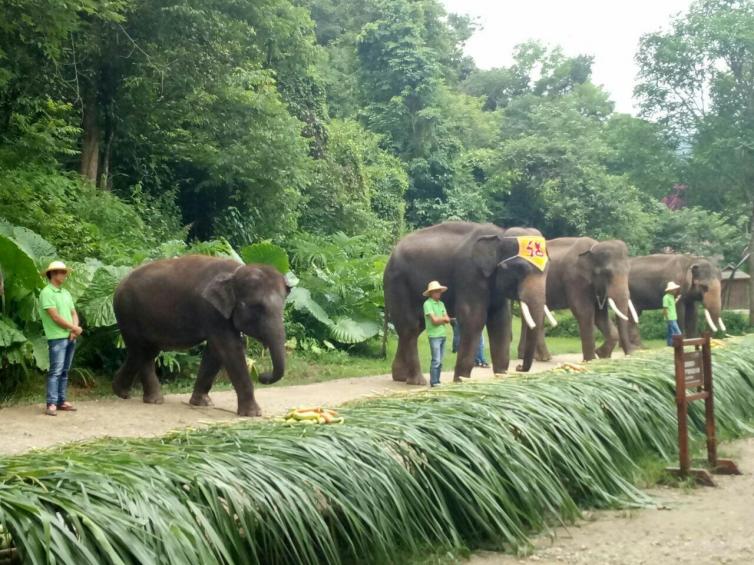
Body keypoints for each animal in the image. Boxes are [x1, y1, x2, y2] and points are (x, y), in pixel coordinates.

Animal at [112, 255, 289, 416]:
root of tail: (120, 282)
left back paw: (122, 393)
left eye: (282, 306)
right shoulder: (210, 310)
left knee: (144, 352)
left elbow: (215, 352)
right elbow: (229, 347)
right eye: (256, 307)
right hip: (128, 312)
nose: (263, 376)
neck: (235, 273)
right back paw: (153, 400)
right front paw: (253, 413)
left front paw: (202, 403)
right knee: (141, 351)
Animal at [384, 222, 549, 385]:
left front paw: (502, 377)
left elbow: (501, 322)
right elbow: (473, 319)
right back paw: (417, 381)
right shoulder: (469, 274)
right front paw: (461, 381)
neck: (500, 233)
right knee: (410, 328)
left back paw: (400, 377)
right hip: (398, 284)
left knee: (416, 327)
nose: (519, 367)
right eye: (519, 269)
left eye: (548, 270)